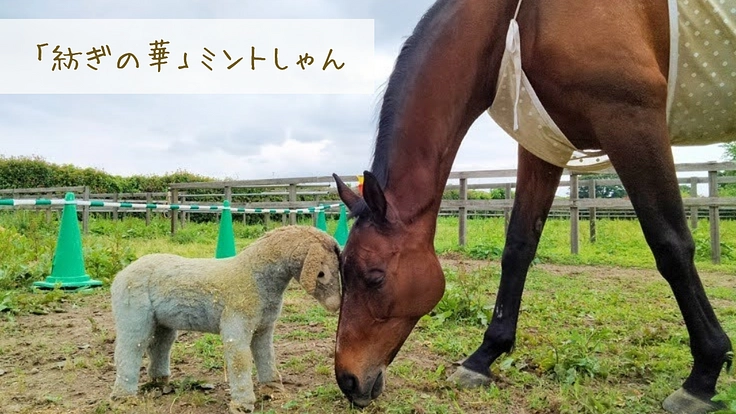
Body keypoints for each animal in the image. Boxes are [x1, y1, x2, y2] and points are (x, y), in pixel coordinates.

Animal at [330, 0, 735, 412]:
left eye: (375, 277)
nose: (348, 379)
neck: (521, 17)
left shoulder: (631, 118)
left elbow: (671, 246)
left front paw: (705, 373)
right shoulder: (543, 143)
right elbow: (519, 247)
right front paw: (483, 357)